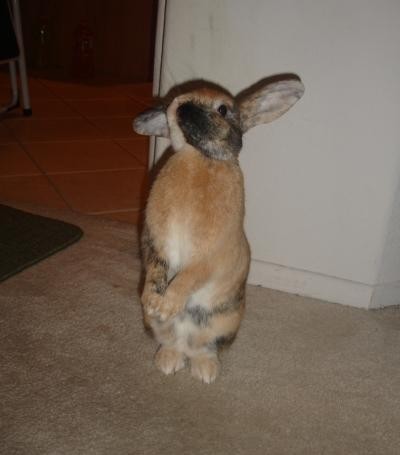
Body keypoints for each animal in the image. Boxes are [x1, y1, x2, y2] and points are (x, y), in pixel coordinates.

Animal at [133, 77, 304, 383]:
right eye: (176, 102)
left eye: (223, 109)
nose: (182, 109)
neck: (198, 157)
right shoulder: (156, 240)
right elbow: (156, 267)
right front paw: (153, 301)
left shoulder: (210, 255)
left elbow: (190, 276)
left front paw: (167, 303)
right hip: (156, 326)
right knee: (172, 343)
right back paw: (168, 362)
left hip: (224, 325)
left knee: (204, 348)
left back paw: (205, 372)